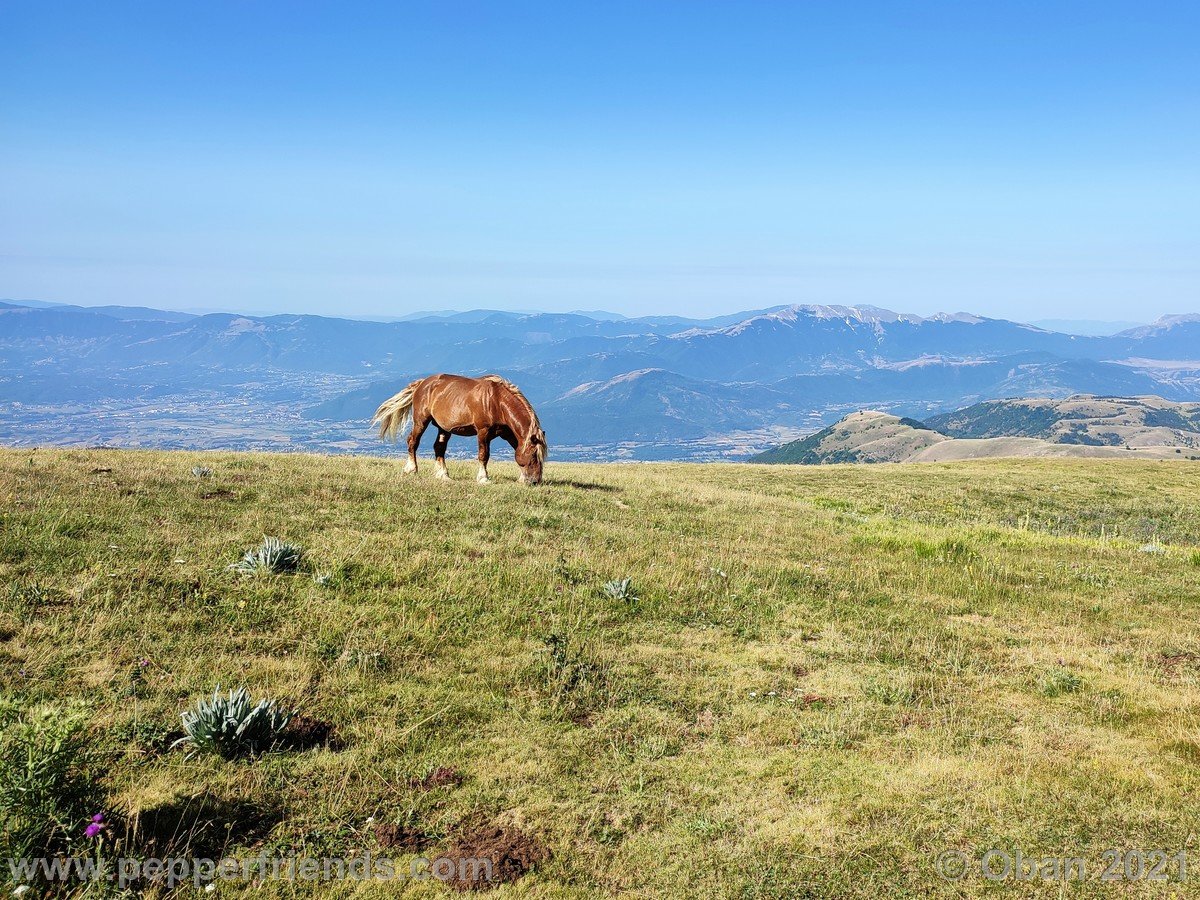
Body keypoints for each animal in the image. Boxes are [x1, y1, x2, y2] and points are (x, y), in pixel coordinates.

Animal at [369, 374, 549, 487]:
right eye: (534, 456)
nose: (535, 481)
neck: (497, 401)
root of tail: (422, 383)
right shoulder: (483, 431)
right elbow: (484, 455)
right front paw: (483, 478)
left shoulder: (508, 433)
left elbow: (517, 450)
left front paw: (521, 478)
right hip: (421, 421)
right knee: (413, 441)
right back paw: (411, 469)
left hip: (443, 428)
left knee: (439, 448)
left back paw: (443, 475)